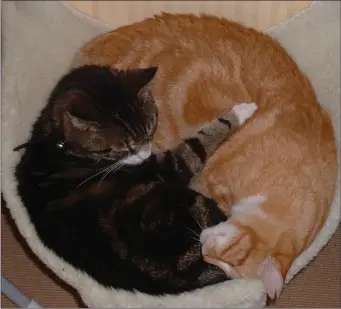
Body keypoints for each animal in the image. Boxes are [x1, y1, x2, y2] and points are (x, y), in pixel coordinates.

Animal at [14, 64, 256, 294]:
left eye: (151, 129)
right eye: (122, 148)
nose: (145, 154)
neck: (61, 144)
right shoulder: (168, 165)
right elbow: (196, 145)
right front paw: (241, 111)